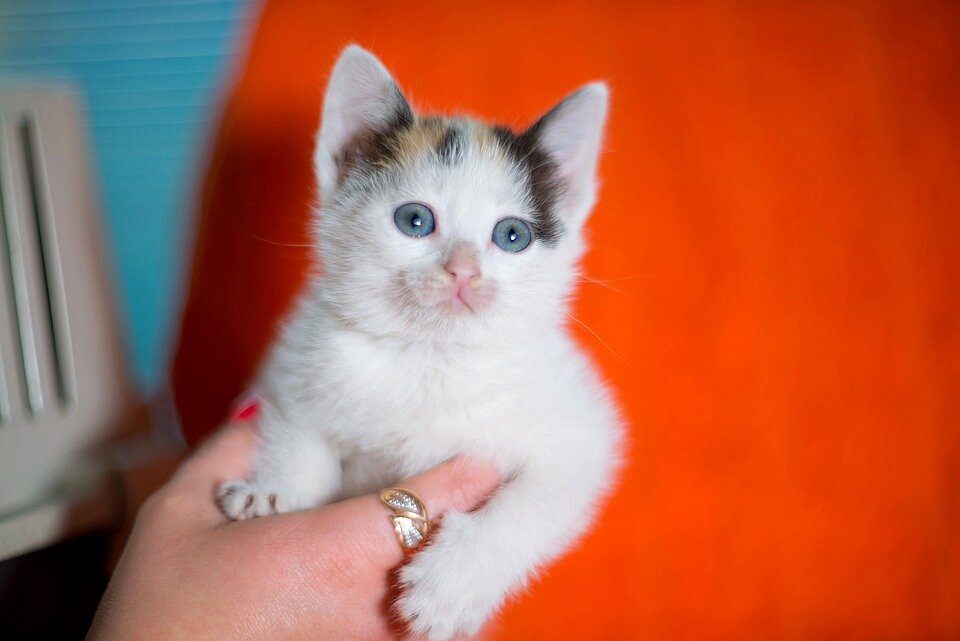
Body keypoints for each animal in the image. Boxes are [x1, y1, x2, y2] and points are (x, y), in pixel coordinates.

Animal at [217, 45, 623, 641]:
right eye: (414, 220)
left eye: (512, 236)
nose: (464, 271)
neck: (429, 356)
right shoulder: (293, 363)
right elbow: (297, 429)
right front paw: (279, 494)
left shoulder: (580, 432)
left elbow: (537, 499)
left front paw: (451, 585)